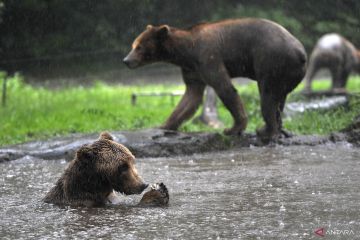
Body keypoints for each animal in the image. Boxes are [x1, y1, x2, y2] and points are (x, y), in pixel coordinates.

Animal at [123, 19, 306, 142]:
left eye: (139, 47)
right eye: (133, 45)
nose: (126, 60)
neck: (185, 52)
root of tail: (301, 52)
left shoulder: (208, 57)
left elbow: (224, 88)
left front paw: (232, 128)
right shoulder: (193, 70)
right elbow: (190, 97)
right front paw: (164, 125)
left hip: (271, 61)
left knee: (267, 96)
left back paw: (266, 130)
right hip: (286, 73)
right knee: (279, 100)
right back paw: (277, 128)